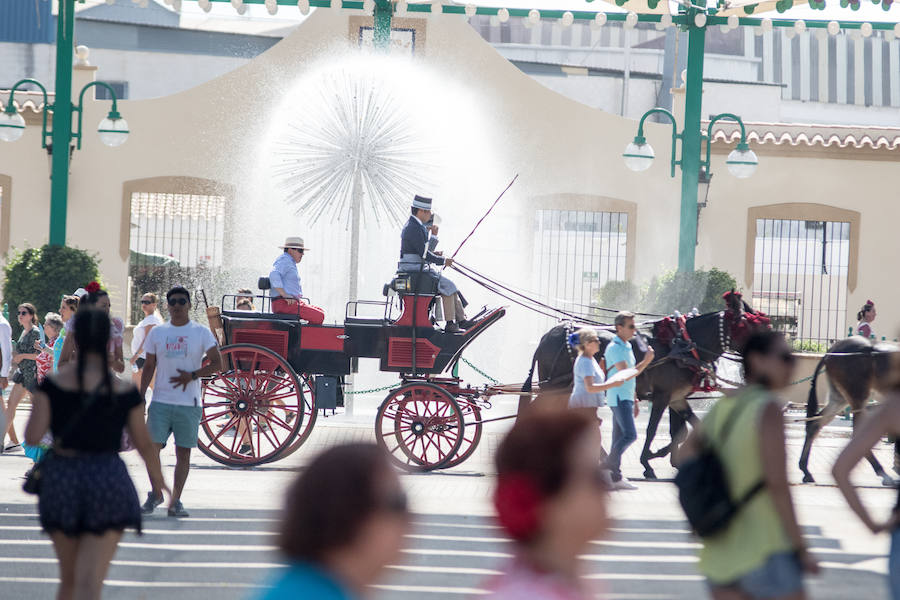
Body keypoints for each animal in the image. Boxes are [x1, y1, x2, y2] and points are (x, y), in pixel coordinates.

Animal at [520, 302, 760, 480]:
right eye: (748, 326)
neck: (684, 346)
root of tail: (548, 335)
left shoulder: (677, 398)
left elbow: (687, 429)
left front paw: (666, 456)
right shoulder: (663, 396)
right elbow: (653, 429)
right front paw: (648, 461)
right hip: (555, 388)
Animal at [800, 336, 896, 486]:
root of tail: (831, 352)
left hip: (839, 398)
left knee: (814, 424)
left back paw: (806, 471)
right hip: (858, 397)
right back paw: (882, 472)